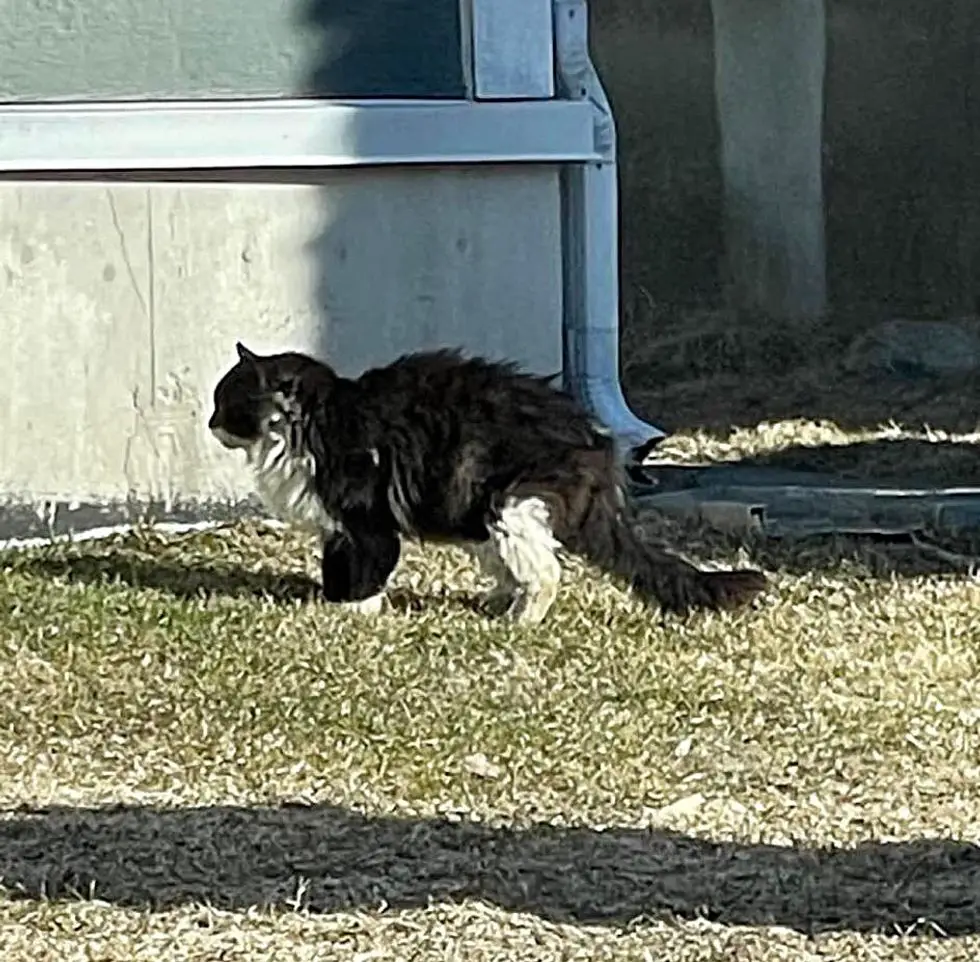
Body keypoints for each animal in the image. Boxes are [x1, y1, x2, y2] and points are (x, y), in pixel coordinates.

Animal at [211, 342, 768, 628]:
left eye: (226, 403)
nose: (209, 423)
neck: (312, 425)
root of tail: (597, 441)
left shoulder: (365, 523)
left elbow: (366, 572)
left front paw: (355, 614)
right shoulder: (337, 528)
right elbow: (337, 569)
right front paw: (334, 603)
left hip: (511, 505)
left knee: (546, 574)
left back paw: (518, 621)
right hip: (480, 516)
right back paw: (497, 603)